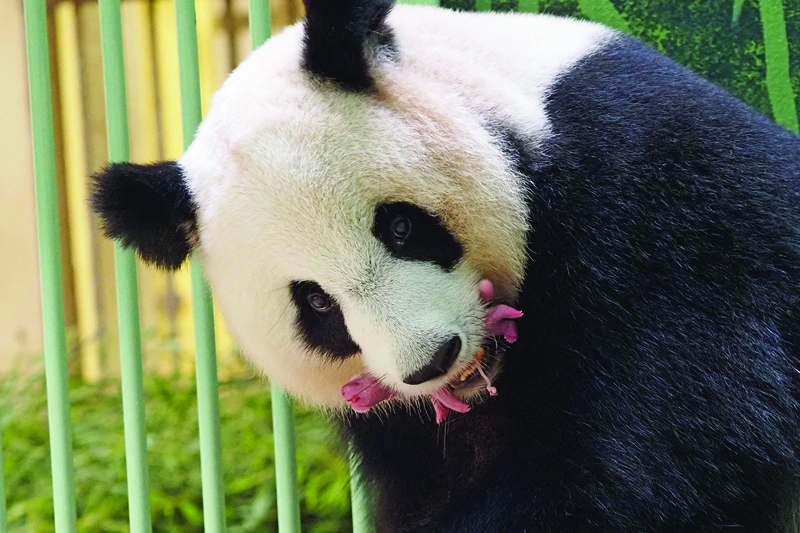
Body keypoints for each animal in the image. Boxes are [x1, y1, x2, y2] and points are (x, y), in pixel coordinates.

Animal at [91, 0, 800, 531]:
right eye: (316, 304)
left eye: (401, 228)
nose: (432, 360)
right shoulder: (405, 435)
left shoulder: (665, 217)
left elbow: (639, 464)